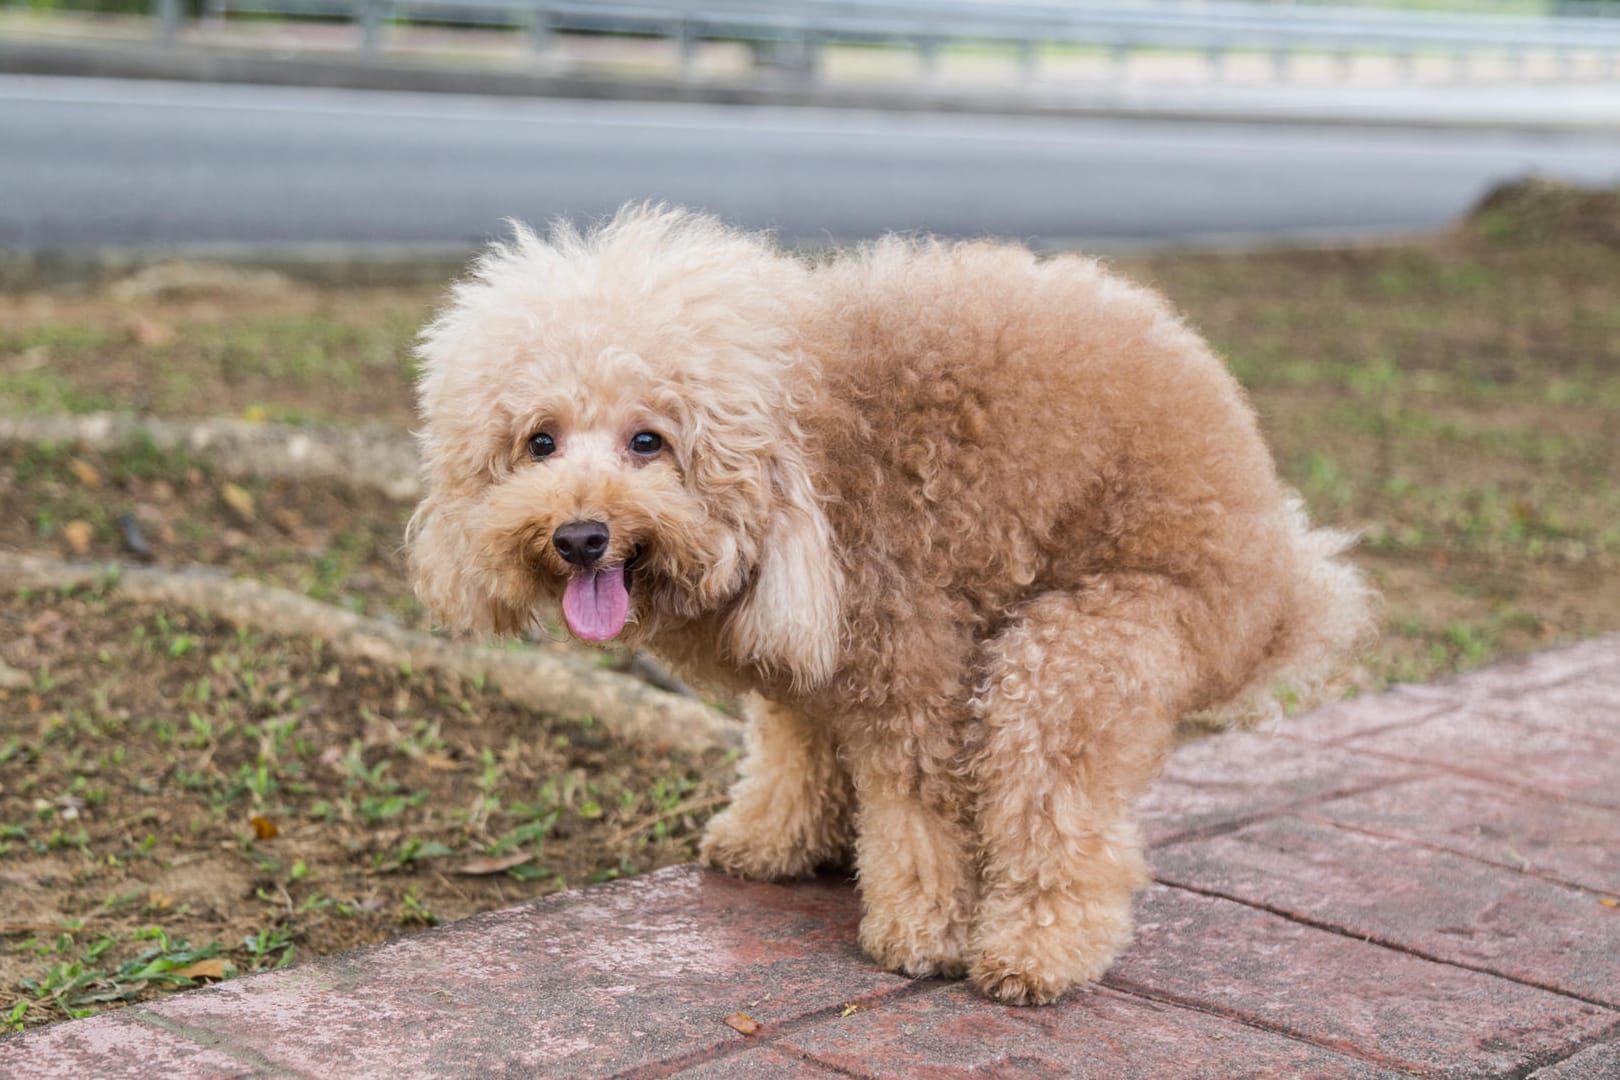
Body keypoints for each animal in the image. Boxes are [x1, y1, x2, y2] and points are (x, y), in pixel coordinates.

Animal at [411, 207, 1373, 1010]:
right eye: (539, 442)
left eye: (648, 441)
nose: (579, 536)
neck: (807, 436)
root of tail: (1285, 587)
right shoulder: (804, 658)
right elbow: (795, 747)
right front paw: (772, 841)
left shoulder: (911, 658)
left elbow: (919, 808)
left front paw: (922, 932)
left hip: (1085, 643)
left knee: (1054, 803)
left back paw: (1034, 953)